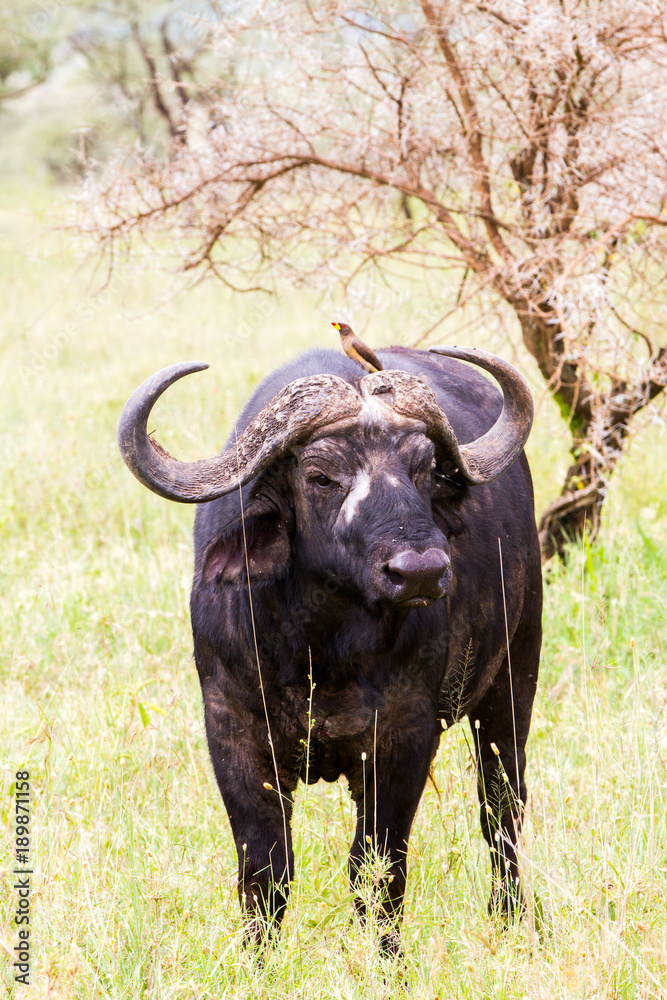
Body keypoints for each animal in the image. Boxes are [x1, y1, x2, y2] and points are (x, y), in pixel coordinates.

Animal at [118, 343, 542, 953]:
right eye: (320, 476)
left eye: (424, 470)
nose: (420, 571)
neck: (321, 647)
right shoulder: (233, 727)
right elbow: (265, 869)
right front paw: (258, 959)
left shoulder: (405, 734)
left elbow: (379, 868)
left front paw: (385, 958)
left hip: (514, 675)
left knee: (502, 806)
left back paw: (510, 917)